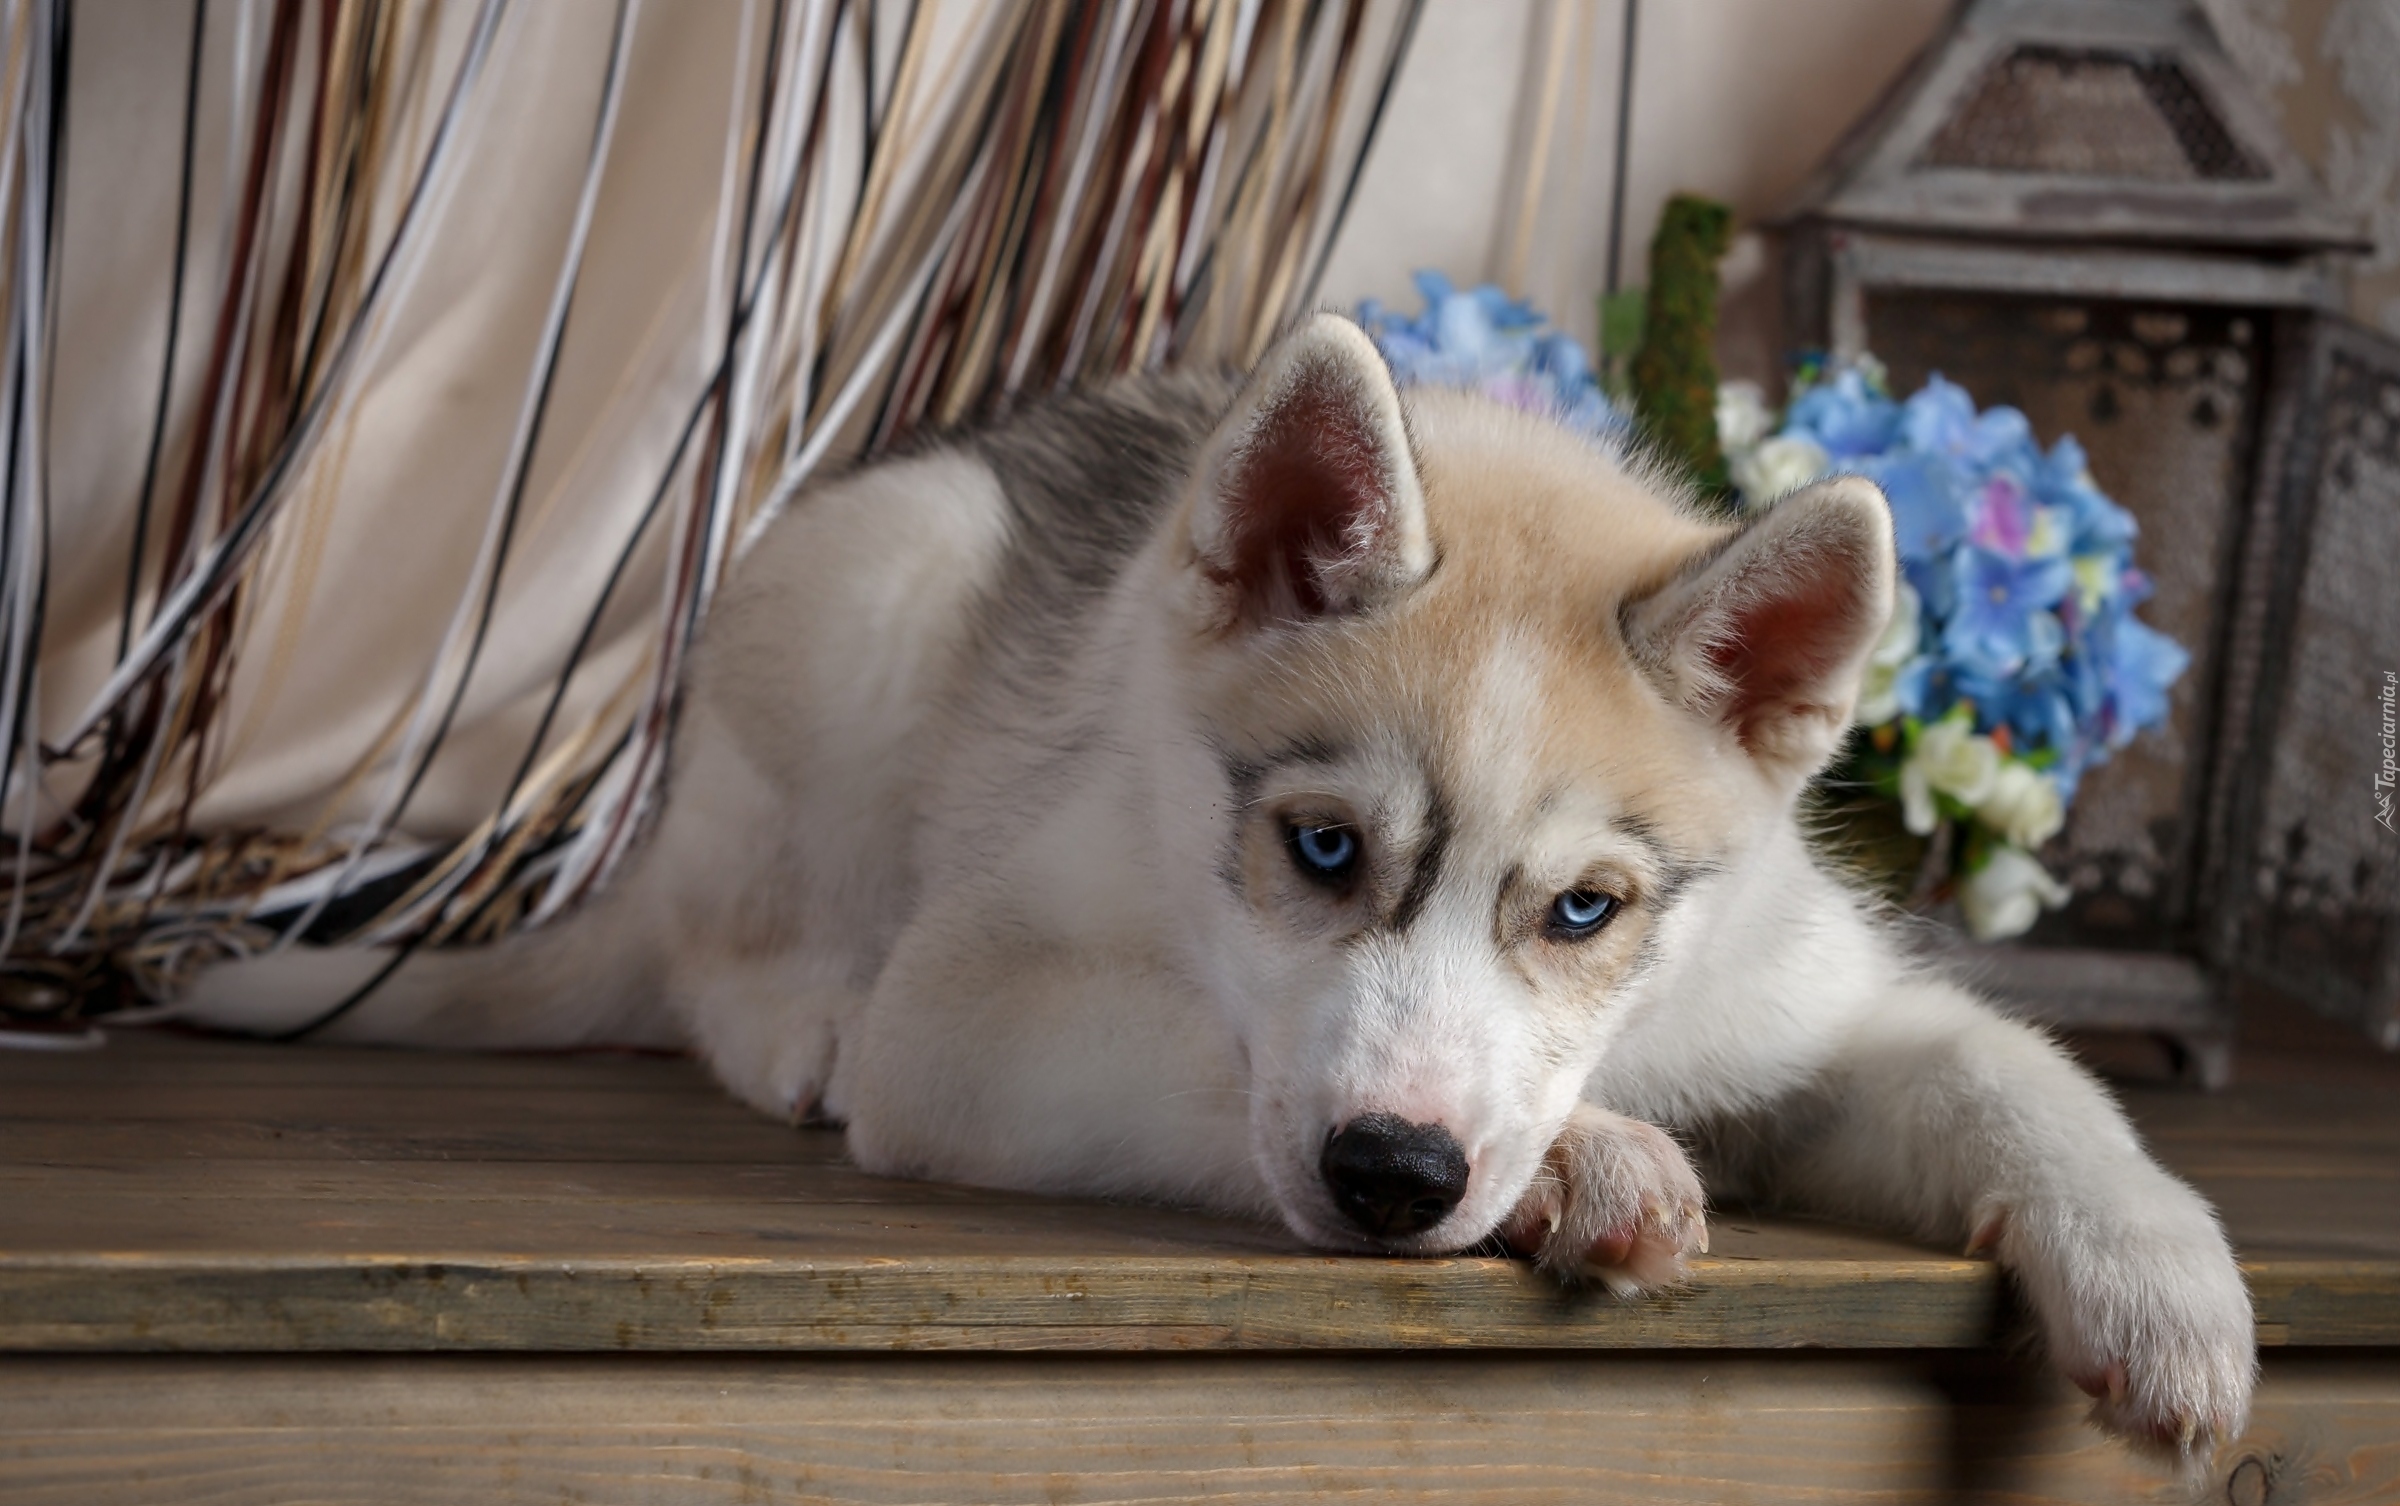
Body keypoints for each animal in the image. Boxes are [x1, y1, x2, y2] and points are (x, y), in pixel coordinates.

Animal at [182, 314, 2246, 1448]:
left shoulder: (1798, 993)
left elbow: (2011, 1070)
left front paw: (2168, 1291)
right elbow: (1219, 1076)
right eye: (1323, 850)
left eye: (1586, 911)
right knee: (716, 950)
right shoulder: (985, 1014)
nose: (1400, 1177)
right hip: (875, 593)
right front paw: (1575, 1161)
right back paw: (794, 1017)